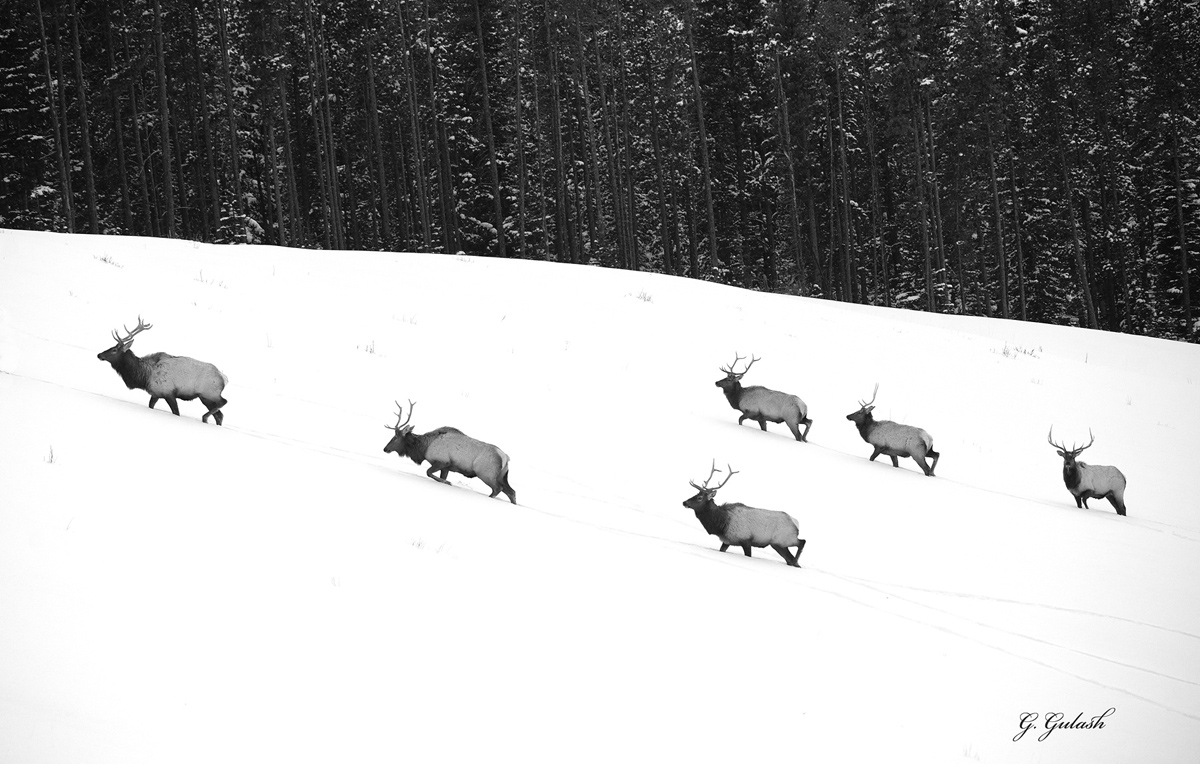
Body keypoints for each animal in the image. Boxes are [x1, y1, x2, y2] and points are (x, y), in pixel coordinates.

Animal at [96, 316, 228, 425]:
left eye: (114, 350)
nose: (99, 355)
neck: (144, 376)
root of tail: (224, 378)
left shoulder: (169, 393)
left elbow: (176, 412)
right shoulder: (156, 393)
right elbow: (151, 406)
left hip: (208, 394)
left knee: (223, 402)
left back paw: (204, 417)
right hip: (206, 398)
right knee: (220, 415)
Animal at [383, 400, 517, 504]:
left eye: (395, 437)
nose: (385, 449)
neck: (423, 448)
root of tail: (506, 458)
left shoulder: (442, 461)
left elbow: (428, 473)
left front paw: (448, 482)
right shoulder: (446, 467)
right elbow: (437, 476)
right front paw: (446, 481)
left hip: (486, 474)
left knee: (498, 489)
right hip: (501, 476)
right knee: (512, 492)